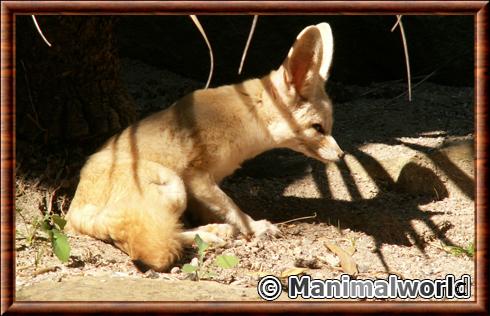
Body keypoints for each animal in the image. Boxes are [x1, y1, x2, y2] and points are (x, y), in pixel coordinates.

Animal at [66, 22, 344, 272]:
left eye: (328, 127)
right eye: (318, 128)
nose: (341, 156)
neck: (248, 114)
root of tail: (74, 211)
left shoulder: (206, 183)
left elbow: (213, 207)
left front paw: (217, 222)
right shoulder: (195, 177)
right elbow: (232, 207)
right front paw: (254, 226)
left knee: (170, 229)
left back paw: (212, 230)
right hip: (173, 184)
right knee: (164, 236)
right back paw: (212, 234)